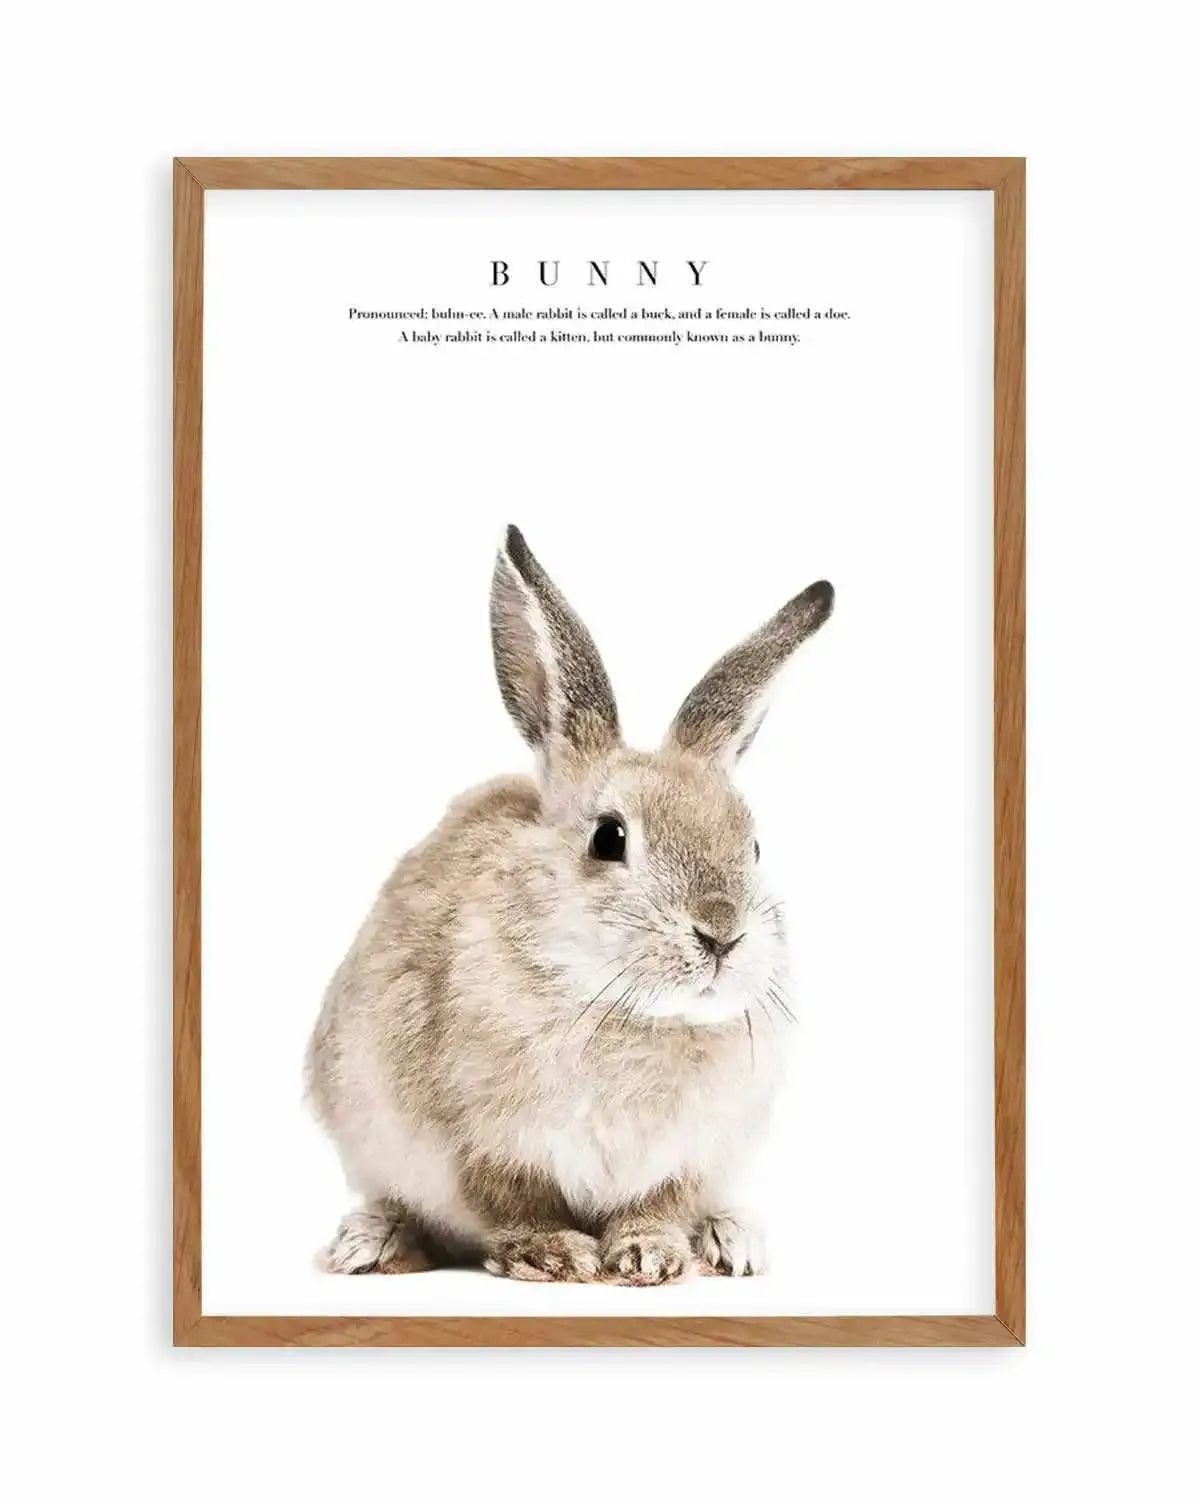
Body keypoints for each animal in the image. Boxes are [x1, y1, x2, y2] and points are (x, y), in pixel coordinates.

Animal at [306, 526, 833, 1285]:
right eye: (609, 837)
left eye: (754, 846)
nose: (721, 934)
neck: (624, 1010)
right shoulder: (479, 1145)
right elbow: (513, 1203)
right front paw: (554, 1254)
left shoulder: (688, 1156)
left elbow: (658, 1205)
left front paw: (651, 1256)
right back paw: (372, 1244)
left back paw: (731, 1241)